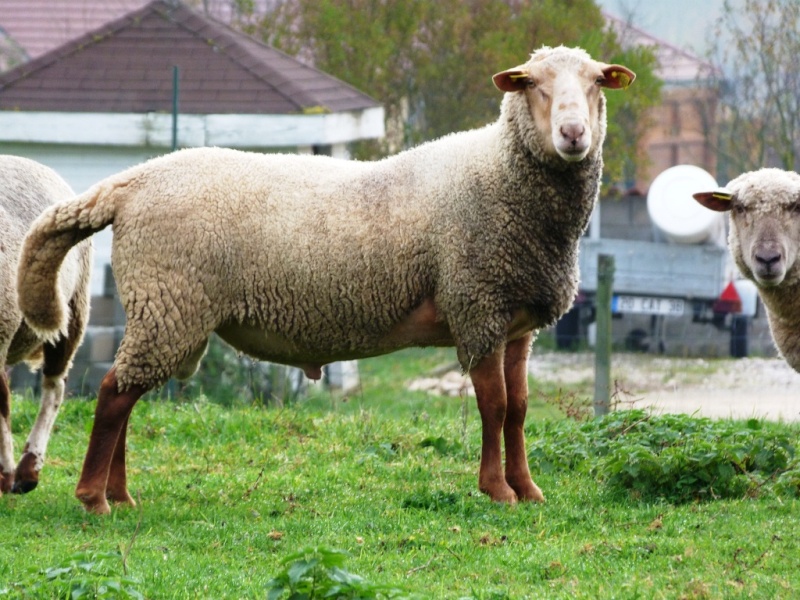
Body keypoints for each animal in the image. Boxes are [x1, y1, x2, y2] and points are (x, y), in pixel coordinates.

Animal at [15, 44, 636, 512]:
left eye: (596, 84)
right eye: (533, 85)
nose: (574, 133)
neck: (502, 177)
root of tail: (132, 182)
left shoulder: (516, 323)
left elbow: (521, 408)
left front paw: (527, 489)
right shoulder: (476, 305)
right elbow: (495, 407)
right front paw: (496, 491)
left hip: (164, 309)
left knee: (125, 392)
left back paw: (119, 495)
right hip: (170, 302)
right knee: (113, 394)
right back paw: (94, 498)